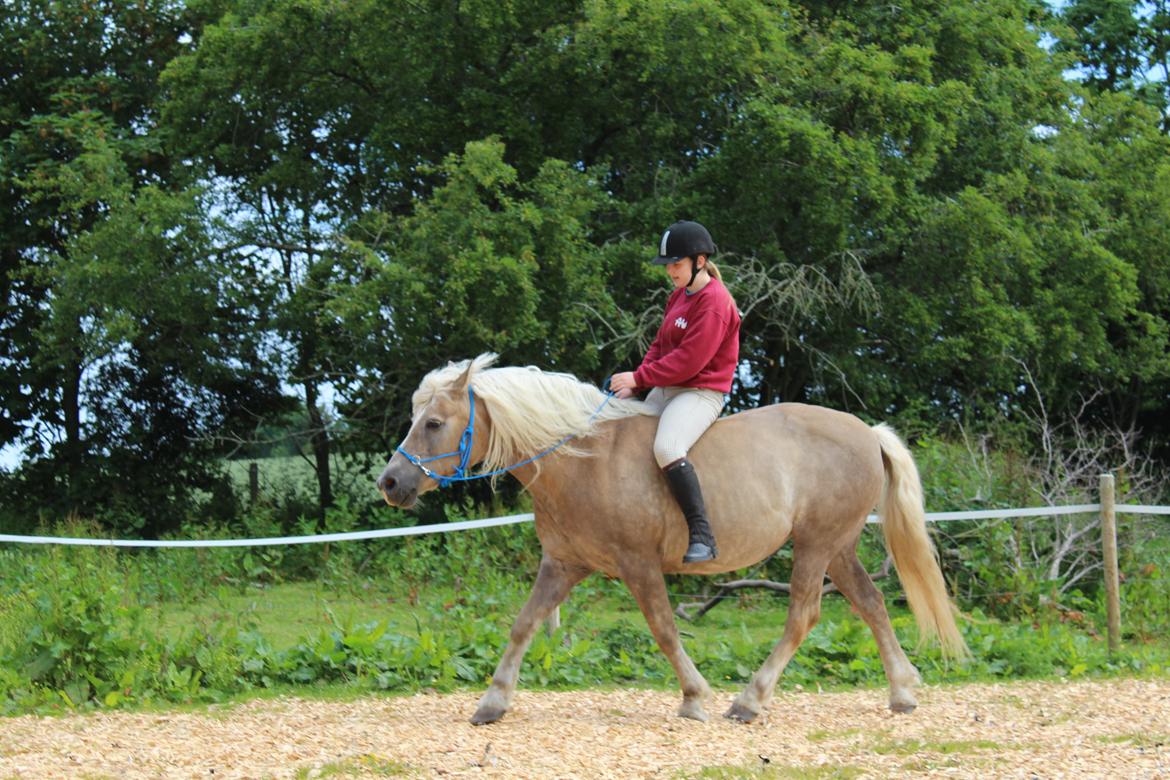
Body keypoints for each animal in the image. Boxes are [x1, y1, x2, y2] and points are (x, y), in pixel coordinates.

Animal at [379, 355, 964, 725]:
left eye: (434, 423)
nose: (390, 483)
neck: (583, 460)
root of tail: (868, 432)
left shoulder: (638, 564)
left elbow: (663, 629)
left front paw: (694, 697)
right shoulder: (563, 564)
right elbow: (523, 625)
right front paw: (492, 703)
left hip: (817, 544)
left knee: (804, 613)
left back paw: (749, 701)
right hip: (838, 547)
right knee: (870, 602)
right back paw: (902, 691)